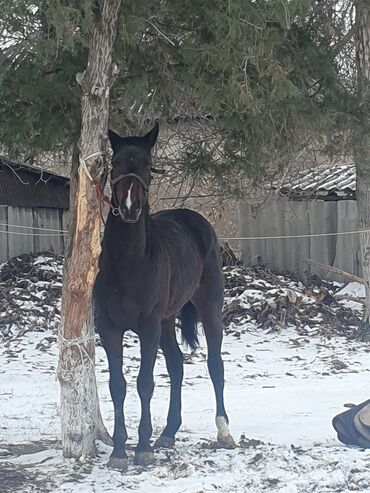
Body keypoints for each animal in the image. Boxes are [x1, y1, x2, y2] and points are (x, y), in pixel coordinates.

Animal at [94, 124, 236, 468]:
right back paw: (169, 433)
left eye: (147, 164)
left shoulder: (147, 327)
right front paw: (119, 451)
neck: (128, 263)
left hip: (208, 309)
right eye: (115, 163)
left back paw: (224, 431)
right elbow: (117, 386)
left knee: (215, 365)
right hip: (168, 320)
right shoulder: (109, 328)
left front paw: (143, 448)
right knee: (177, 365)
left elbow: (145, 383)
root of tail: (195, 219)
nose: (129, 207)